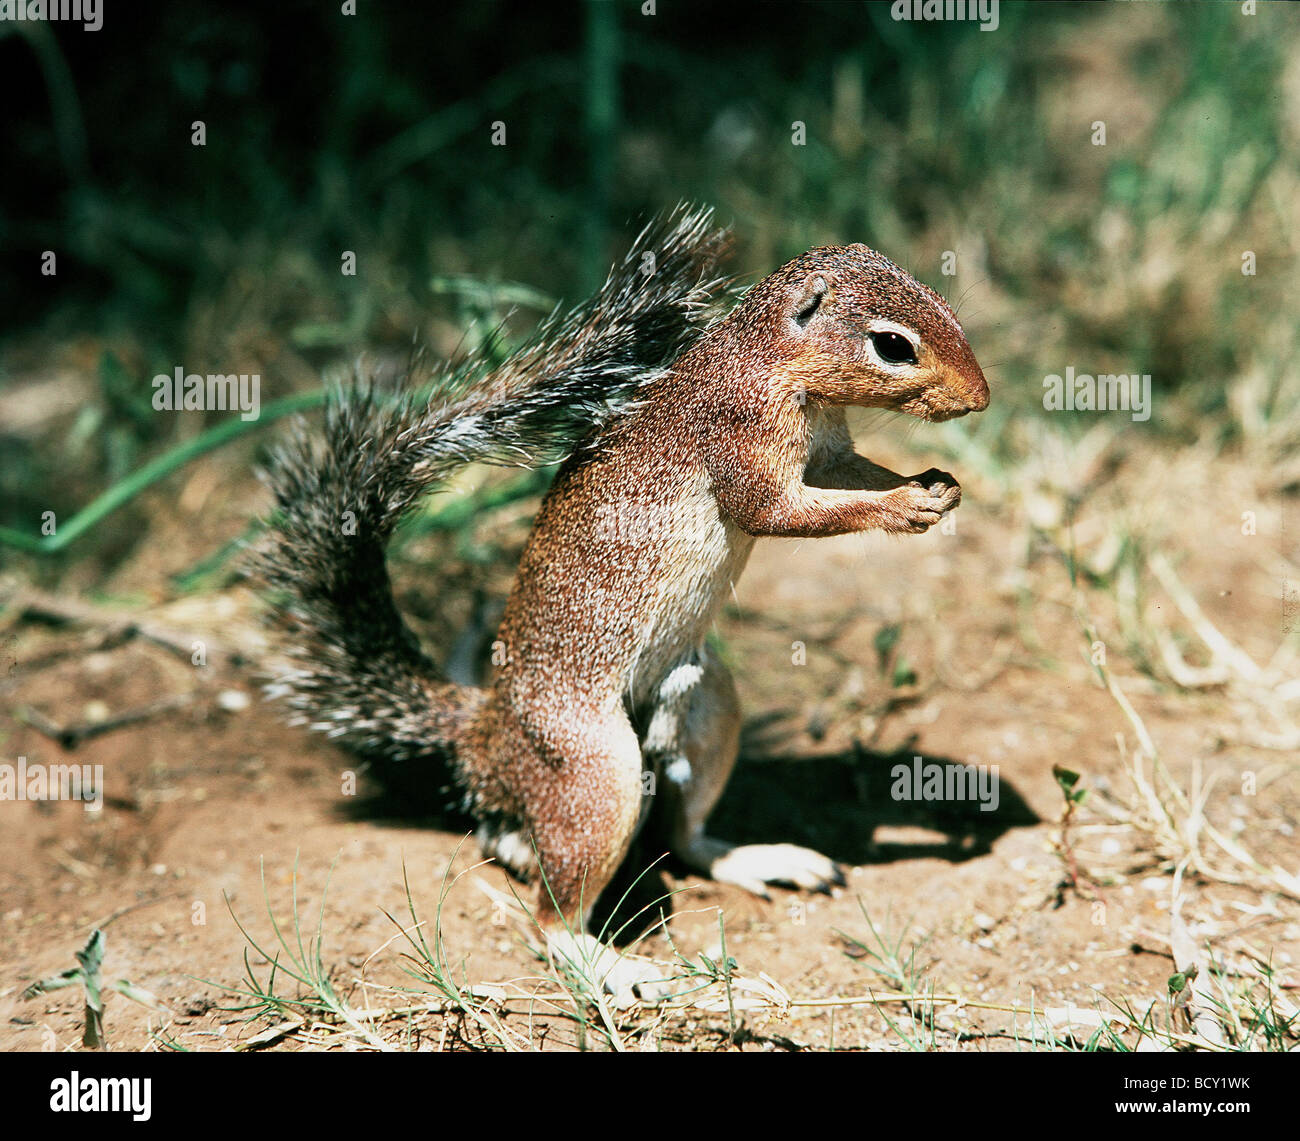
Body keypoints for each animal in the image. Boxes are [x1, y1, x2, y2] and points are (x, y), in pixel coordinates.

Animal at [256, 208, 989, 1001]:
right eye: (892, 345)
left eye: (941, 300)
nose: (980, 398)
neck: (769, 361)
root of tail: (487, 740)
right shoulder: (742, 440)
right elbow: (783, 512)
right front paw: (905, 505)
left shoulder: (827, 450)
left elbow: (846, 476)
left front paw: (934, 486)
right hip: (594, 774)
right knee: (550, 919)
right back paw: (612, 965)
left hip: (710, 706)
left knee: (685, 837)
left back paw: (759, 858)